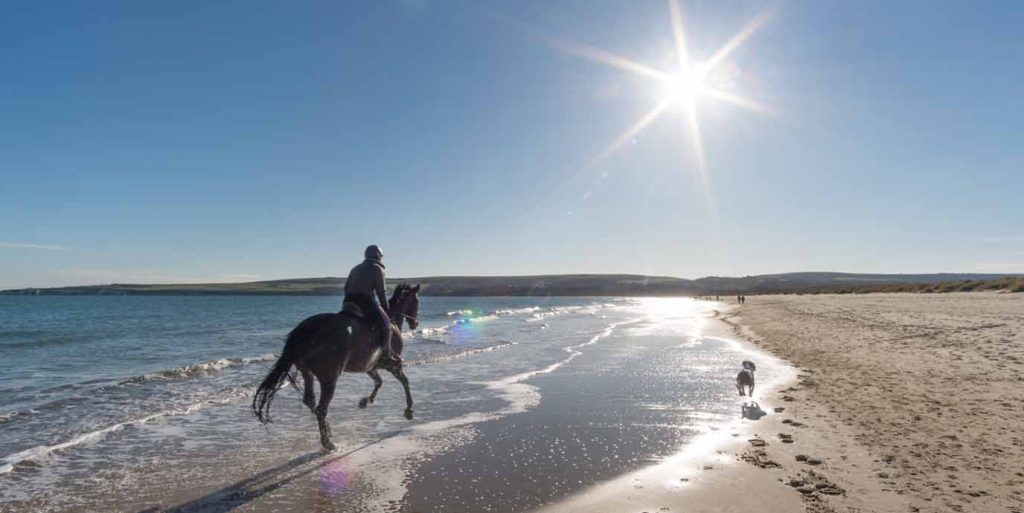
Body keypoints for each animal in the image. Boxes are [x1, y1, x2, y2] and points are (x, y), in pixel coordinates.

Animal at [252, 283, 421, 450]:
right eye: (417, 302)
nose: (416, 323)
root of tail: (304, 331)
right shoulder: (391, 365)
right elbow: (404, 381)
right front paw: (409, 410)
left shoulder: (369, 366)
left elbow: (379, 382)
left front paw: (365, 401)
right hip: (330, 377)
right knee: (321, 408)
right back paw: (328, 442)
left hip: (308, 372)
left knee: (310, 401)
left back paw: (329, 431)